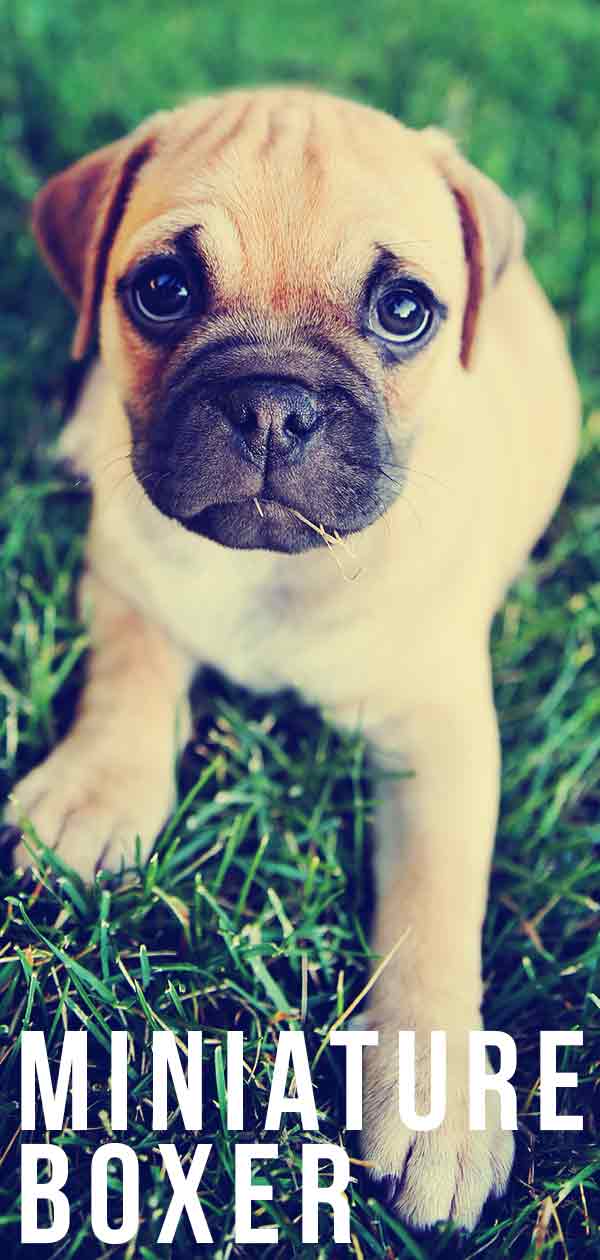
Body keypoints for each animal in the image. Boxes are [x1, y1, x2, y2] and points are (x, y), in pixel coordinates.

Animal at [10, 91, 582, 1229]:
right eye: (164, 290)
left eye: (405, 311)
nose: (273, 405)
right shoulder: (126, 575)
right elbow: (132, 680)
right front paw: (99, 793)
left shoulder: (441, 733)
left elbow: (435, 902)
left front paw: (438, 1093)